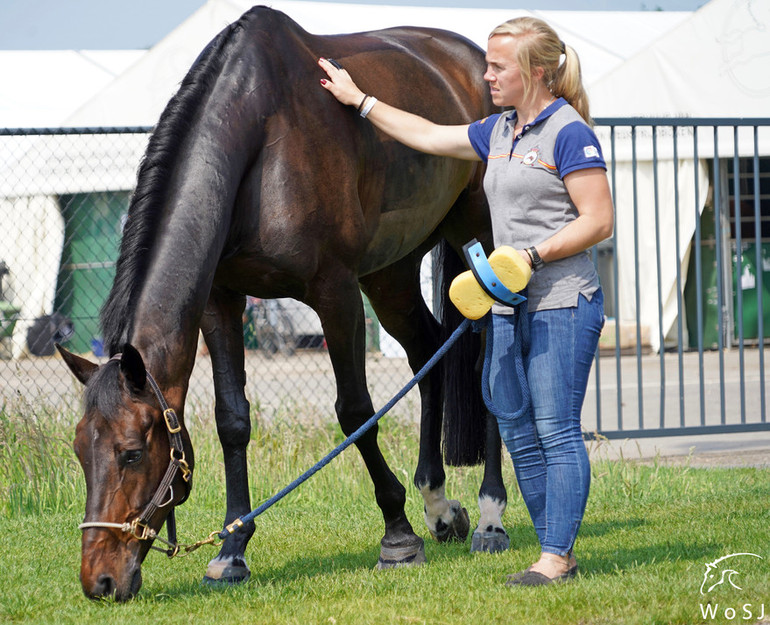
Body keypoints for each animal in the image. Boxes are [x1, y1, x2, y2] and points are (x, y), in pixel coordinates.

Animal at [57, 6, 508, 600]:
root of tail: (475, 61)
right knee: (427, 352)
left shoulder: (336, 293)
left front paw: (397, 536)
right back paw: (438, 503)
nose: (100, 581)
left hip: (479, 236)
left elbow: (356, 412)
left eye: (132, 452)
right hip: (390, 273)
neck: (260, 136)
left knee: (488, 363)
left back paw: (490, 514)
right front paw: (231, 549)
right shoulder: (221, 302)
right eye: (80, 450)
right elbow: (232, 420)